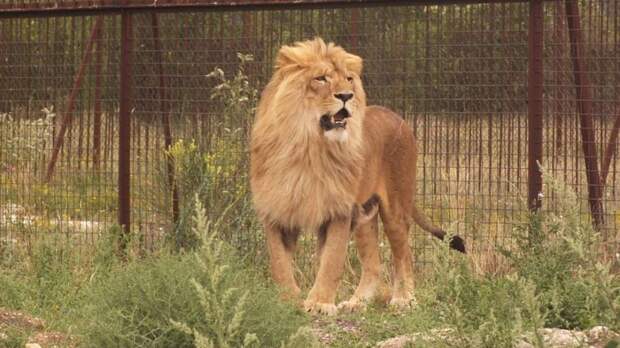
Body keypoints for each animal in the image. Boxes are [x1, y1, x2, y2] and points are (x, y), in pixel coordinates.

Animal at [249, 37, 462, 316]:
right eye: (321, 78)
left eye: (349, 79)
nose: (346, 96)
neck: (308, 148)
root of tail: (398, 117)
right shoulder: (276, 209)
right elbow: (279, 263)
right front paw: (287, 301)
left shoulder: (338, 210)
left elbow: (331, 260)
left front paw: (319, 303)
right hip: (365, 215)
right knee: (373, 263)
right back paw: (357, 302)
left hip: (395, 208)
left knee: (404, 254)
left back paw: (404, 299)